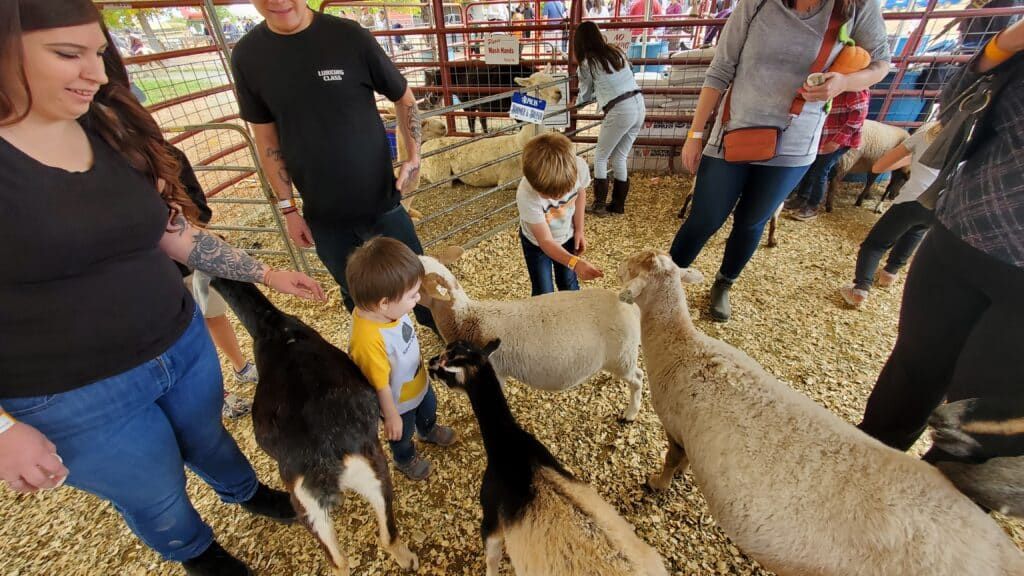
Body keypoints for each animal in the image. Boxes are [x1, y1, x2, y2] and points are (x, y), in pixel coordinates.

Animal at [209, 276, 417, 569]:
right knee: (375, 540)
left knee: (342, 560)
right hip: (365, 477)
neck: (272, 326)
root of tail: (325, 464)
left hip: (311, 505)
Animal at [411, 249, 643, 420]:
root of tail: (627, 304)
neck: (466, 318)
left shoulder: (495, 373)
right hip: (621, 357)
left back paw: (630, 414)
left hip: (622, 355)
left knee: (638, 379)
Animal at [614, 248, 1024, 573]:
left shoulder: (675, 423)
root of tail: (1004, 556)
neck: (685, 346)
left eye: (633, 265)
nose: (619, 264)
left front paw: (658, 483)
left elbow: (672, 460)